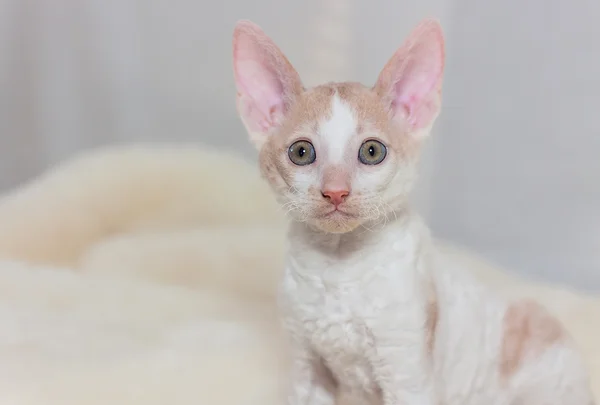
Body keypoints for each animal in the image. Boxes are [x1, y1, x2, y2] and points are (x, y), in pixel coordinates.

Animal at [231, 17, 596, 402]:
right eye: (301, 153)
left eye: (372, 151)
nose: (336, 192)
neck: (339, 264)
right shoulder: (306, 366)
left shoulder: (405, 366)